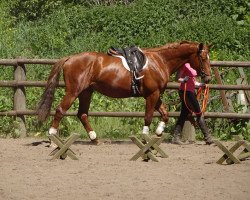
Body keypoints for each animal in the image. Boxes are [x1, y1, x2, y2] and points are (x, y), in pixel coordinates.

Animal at [37, 41, 212, 144]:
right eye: (203, 58)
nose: (208, 78)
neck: (160, 61)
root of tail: (70, 58)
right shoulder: (152, 95)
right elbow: (148, 117)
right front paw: (145, 137)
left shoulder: (156, 95)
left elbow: (165, 114)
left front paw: (159, 132)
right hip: (74, 91)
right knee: (60, 110)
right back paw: (52, 138)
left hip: (86, 92)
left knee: (82, 114)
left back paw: (94, 138)